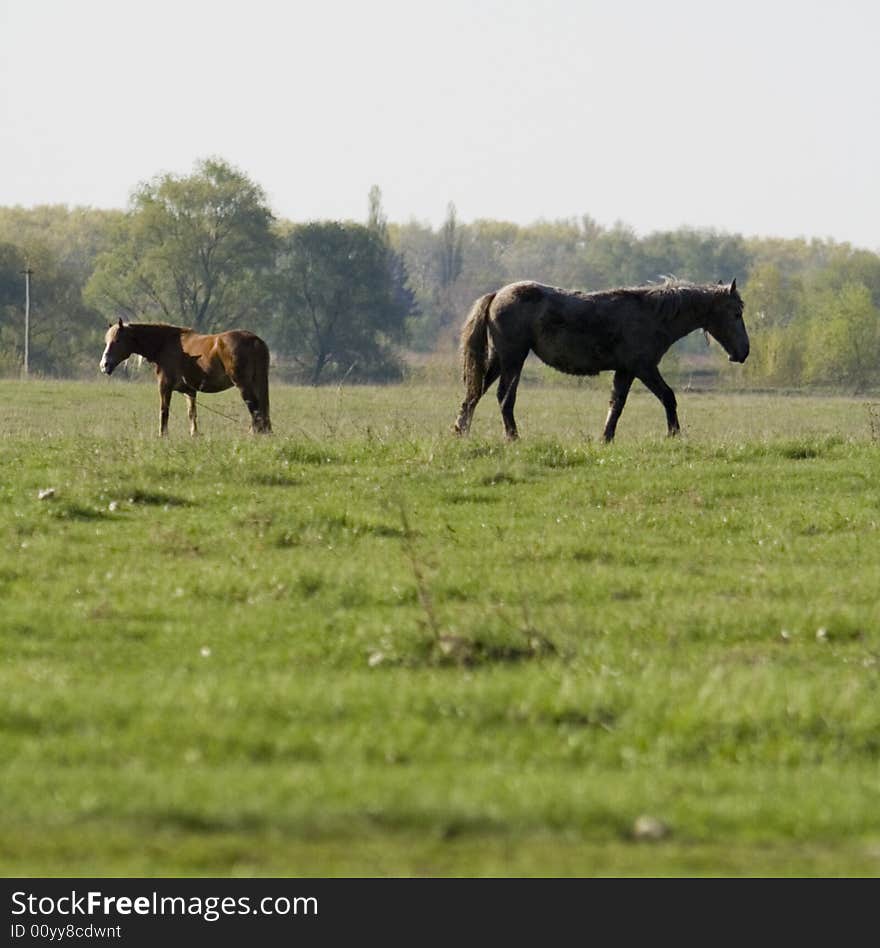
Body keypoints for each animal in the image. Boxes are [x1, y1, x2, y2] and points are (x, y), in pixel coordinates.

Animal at [100, 320, 272, 436]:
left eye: (117, 340)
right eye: (106, 341)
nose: (104, 365)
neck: (165, 344)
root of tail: (254, 340)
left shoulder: (165, 387)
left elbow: (164, 411)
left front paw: (163, 435)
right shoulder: (189, 391)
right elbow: (192, 413)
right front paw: (194, 434)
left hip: (244, 385)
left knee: (255, 410)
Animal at [454, 280, 748, 442]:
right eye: (736, 312)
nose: (743, 351)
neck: (652, 315)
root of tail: (496, 295)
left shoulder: (625, 370)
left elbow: (616, 404)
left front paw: (605, 437)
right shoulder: (644, 368)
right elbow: (668, 397)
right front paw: (673, 435)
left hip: (498, 360)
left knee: (474, 395)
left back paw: (460, 432)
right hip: (513, 360)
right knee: (504, 397)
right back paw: (513, 437)